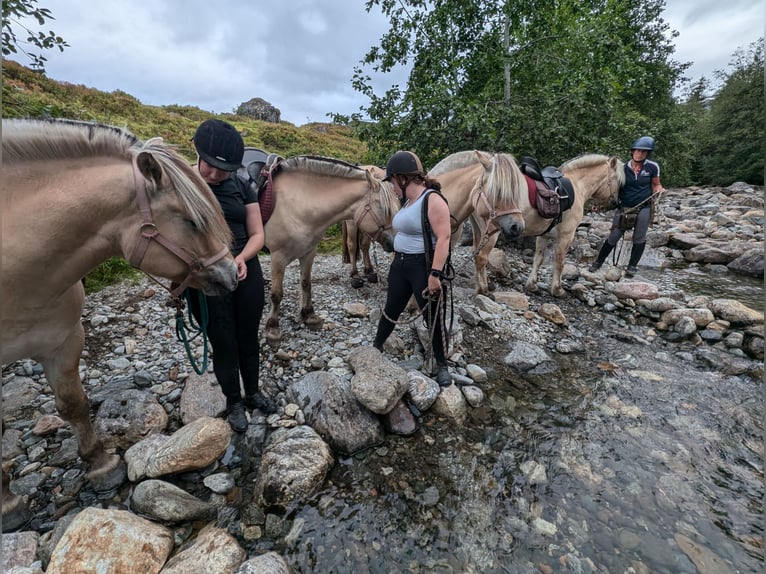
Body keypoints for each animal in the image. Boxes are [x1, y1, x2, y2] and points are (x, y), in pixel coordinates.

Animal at [1, 119, 238, 532]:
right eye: (192, 221)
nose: (231, 275)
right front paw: (7, 504)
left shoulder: (64, 340)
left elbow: (74, 404)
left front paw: (101, 464)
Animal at [262, 155, 396, 344]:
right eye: (385, 209)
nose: (394, 242)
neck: (297, 204)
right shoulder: (278, 257)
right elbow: (276, 294)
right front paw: (272, 328)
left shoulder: (308, 252)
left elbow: (306, 283)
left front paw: (309, 315)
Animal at [468, 153, 624, 296]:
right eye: (617, 181)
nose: (615, 203)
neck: (577, 185)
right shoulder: (566, 236)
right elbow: (559, 261)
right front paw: (557, 289)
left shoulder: (544, 234)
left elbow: (538, 258)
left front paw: (532, 285)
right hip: (491, 231)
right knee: (481, 257)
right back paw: (484, 289)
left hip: (479, 230)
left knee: (476, 254)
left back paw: (478, 285)